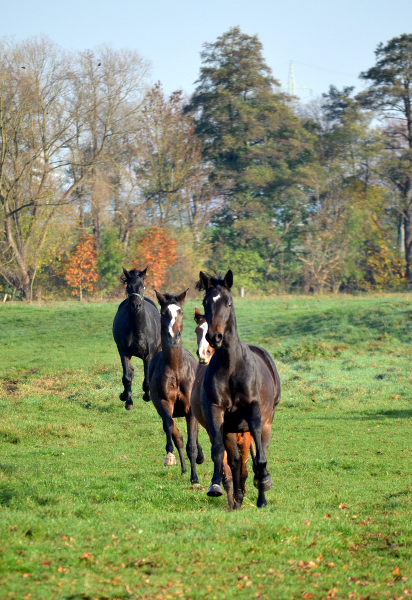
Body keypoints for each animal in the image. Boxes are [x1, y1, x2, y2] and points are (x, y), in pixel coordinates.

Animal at [112, 266, 161, 408]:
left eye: (142, 286)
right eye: (128, 286)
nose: (136, 306)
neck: (138, 330)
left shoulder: (148, 355)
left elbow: (147, 380)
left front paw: (147, 396)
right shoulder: (124, 352)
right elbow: (127, 377)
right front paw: (126, 398)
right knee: (130, 373)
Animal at [149, 288, 205, 486]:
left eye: (180, 311)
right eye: (164, 312)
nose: (173, 337)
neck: (176, 369)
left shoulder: (189, 408)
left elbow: (192, 444)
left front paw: (195, 478)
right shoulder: (165, 403)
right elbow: (171, 429)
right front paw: (169, 457)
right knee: (177, 435)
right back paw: (183, 467)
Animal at [191, 310, 254, 510]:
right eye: (198, 330)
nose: (203, 353)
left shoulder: (246, 434)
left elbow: (243, 466)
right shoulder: (217, 432)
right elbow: (226, 466)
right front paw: (230, 498)